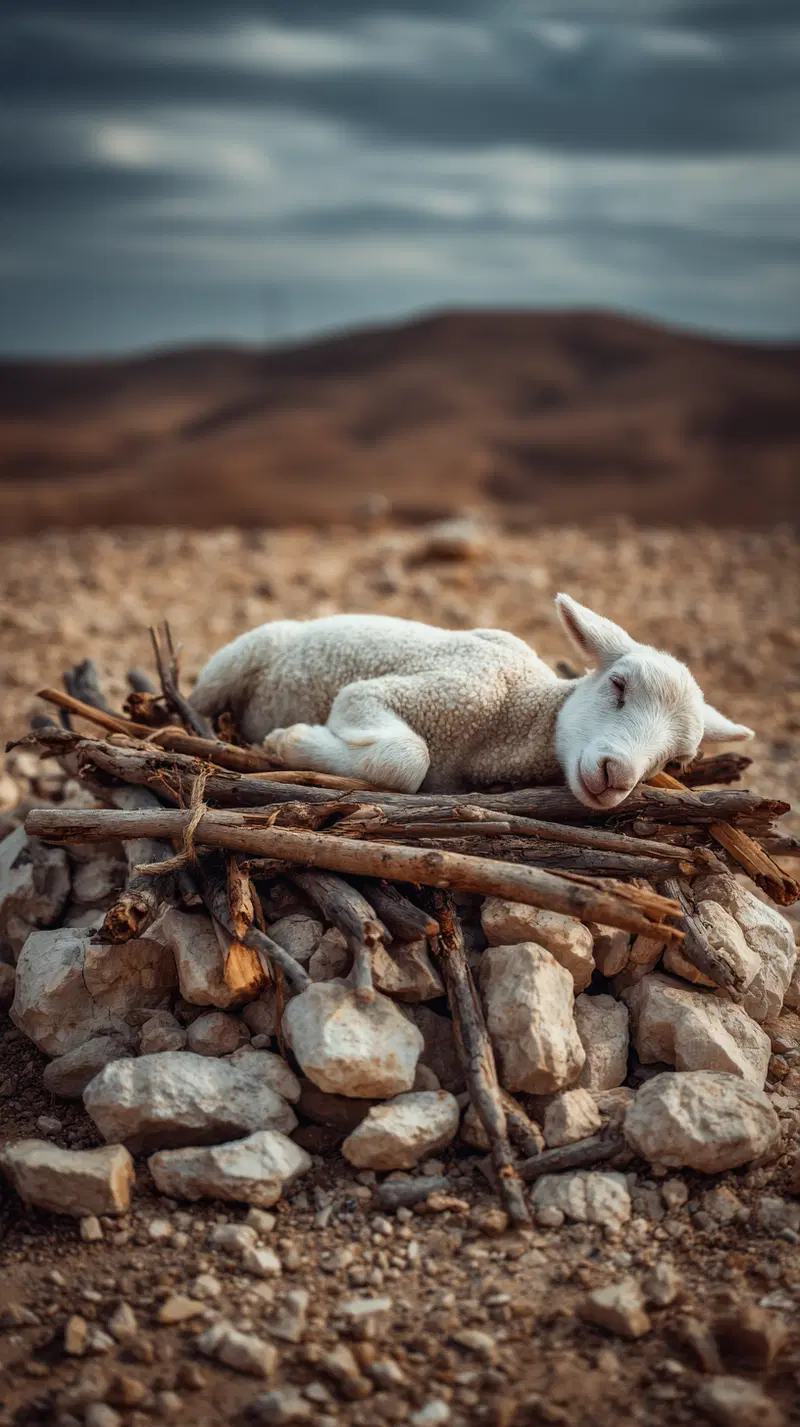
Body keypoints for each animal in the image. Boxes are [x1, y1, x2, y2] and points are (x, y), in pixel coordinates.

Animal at [189, 594, 753, 807]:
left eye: (678, 761)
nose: (617, 776)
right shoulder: (423, 692)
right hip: (240, 656)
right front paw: (292, 741)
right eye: (617, 685)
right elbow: (406, 760)